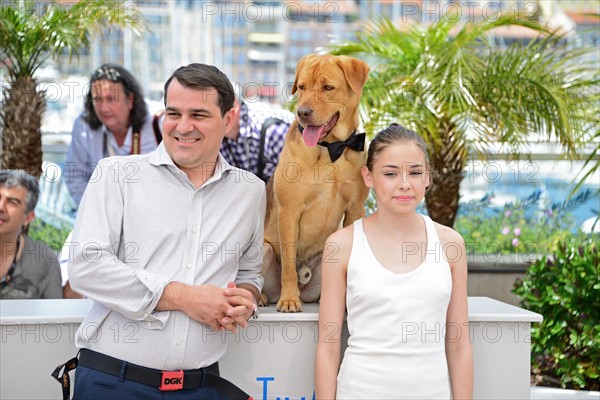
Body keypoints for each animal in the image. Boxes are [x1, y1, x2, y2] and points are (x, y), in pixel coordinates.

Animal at [262, 53, 370, 310]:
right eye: (301, 87)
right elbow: (289, 265)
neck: (331, 149)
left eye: (328, 88)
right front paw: (289, 299)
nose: (302, 112)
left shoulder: (355, 209)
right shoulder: (289, 211)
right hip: (264, 249)